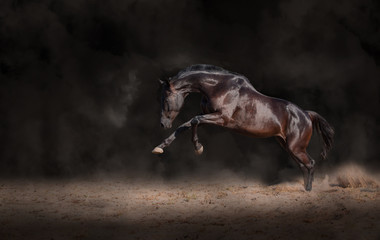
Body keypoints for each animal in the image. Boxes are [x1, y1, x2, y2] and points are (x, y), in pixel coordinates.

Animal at [150, 64, 334, 191]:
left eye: (166, 98)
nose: (163, 124)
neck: (218, 87)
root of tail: (306, 114)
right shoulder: (209, 116)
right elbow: (185, 125)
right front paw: (160, 147)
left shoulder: (222, 118)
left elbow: (194, 121)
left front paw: (198, 147)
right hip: (287, 145)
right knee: (303, 166)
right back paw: (304, 188)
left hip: (296, 147)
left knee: (310, 163)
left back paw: (309, 190)